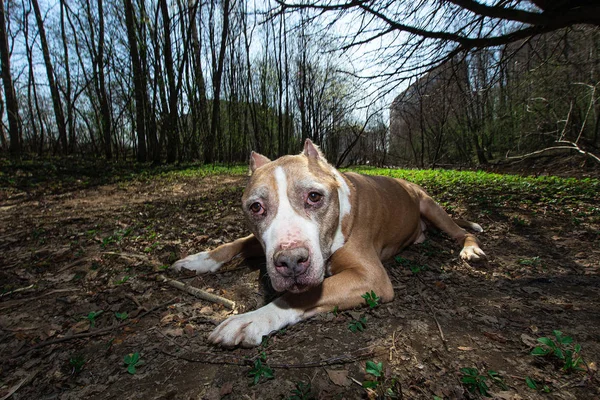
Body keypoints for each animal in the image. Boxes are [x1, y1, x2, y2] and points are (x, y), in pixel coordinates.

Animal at [171, 140, 486, 346]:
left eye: (314, 196)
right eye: (256, 207)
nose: (291, 262)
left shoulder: (370, 277)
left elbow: (303, 295)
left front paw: (253, 319)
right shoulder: (260, 241)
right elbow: (235, 242)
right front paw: (198, 260)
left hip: (431, 206)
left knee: (462, 232)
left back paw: (471, 249)